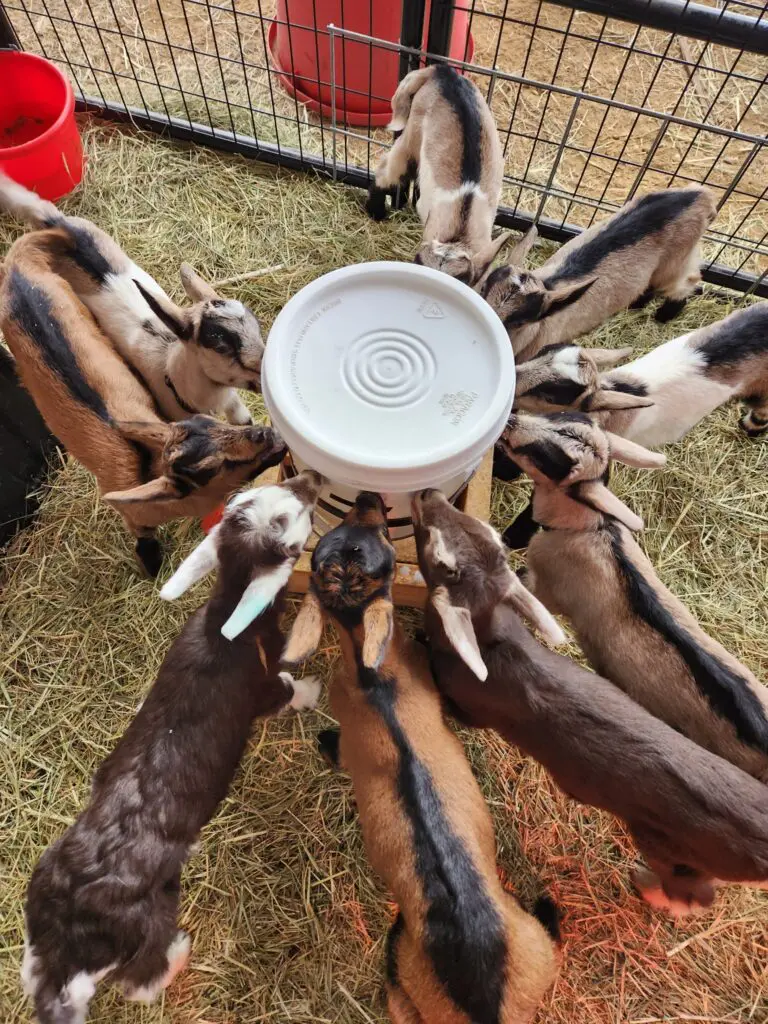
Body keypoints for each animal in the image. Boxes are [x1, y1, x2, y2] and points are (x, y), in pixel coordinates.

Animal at [21, 472, 323, 1024]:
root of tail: (69, 931)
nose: (308, 480)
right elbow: (289, 691)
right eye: (284, 522)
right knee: (140, 980)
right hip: (152, 919)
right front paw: (312, 691)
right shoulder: (265, 687)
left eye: (249, 500)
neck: (229, 622)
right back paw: (179, 954)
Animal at [411, 487, 768, 917]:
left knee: (694, 895)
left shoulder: (471, 706)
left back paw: (645, 884)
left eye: (441, 558)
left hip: (675, 856)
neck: (491, 641)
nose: (427, 492)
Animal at [481, 188, 716, 360]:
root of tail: (701, 195)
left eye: (520, 322)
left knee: (687, 282)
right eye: (483, 289)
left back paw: (664, 314)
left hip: (674, 264)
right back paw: (637, 304)